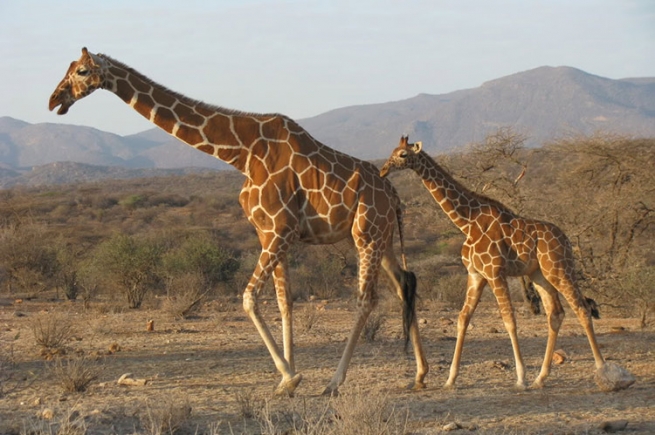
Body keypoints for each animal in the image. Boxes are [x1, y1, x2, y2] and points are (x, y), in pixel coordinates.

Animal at [46, 48, 428, 398]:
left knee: (367, 299)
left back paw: (335, 382)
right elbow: (284, 302)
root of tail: (393, 194)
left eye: (81, 71)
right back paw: (421, 374)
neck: (241, 153)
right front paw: (287, 379)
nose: (53, 101)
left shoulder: (279, 230)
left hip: (367, 233)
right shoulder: (270, 232)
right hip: (376, 236)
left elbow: (248, 298)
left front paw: (290, 376)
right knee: (404, 283)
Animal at [382, 135, 632, 392]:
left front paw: (520, 378)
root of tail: (567, 240)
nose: (383, 170)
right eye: (392, 151)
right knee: (556, 314)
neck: (467, 222)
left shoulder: (495, 272)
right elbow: (463, 318)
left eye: (402, 154)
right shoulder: (476, 274)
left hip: (559, 269)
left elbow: (509, 320)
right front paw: (450, 379)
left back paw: (605, 372)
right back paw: (541, 378)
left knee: (581, 308)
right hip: (539, 275)